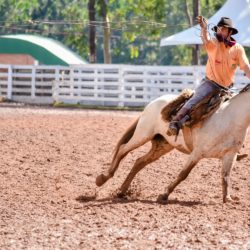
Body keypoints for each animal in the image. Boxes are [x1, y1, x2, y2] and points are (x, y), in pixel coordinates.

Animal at [95, 84, 250, 203]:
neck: (230, 117)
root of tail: (154, 102)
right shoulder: (197, 153)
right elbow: (183, 174)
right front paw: (164, 195)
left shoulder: (230, 155)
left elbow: (225, 177)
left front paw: (228, 199)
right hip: (142, 135)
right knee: (123, 149)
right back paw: (102, 178)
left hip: (162, 146)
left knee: (139, 162)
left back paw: (122, 191)